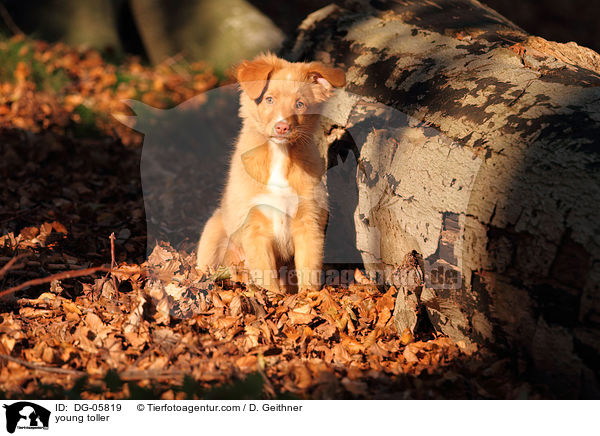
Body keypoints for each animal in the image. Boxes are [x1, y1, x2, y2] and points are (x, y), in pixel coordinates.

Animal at [197, 52, 346, 294]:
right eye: (269, 99)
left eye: (300, 104)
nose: (282, 127)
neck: (279, 155)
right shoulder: (254, 228)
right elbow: (267, 276)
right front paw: (274, 297)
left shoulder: (309, 222)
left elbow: (309, 272)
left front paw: (307, 299)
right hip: (214, 231)